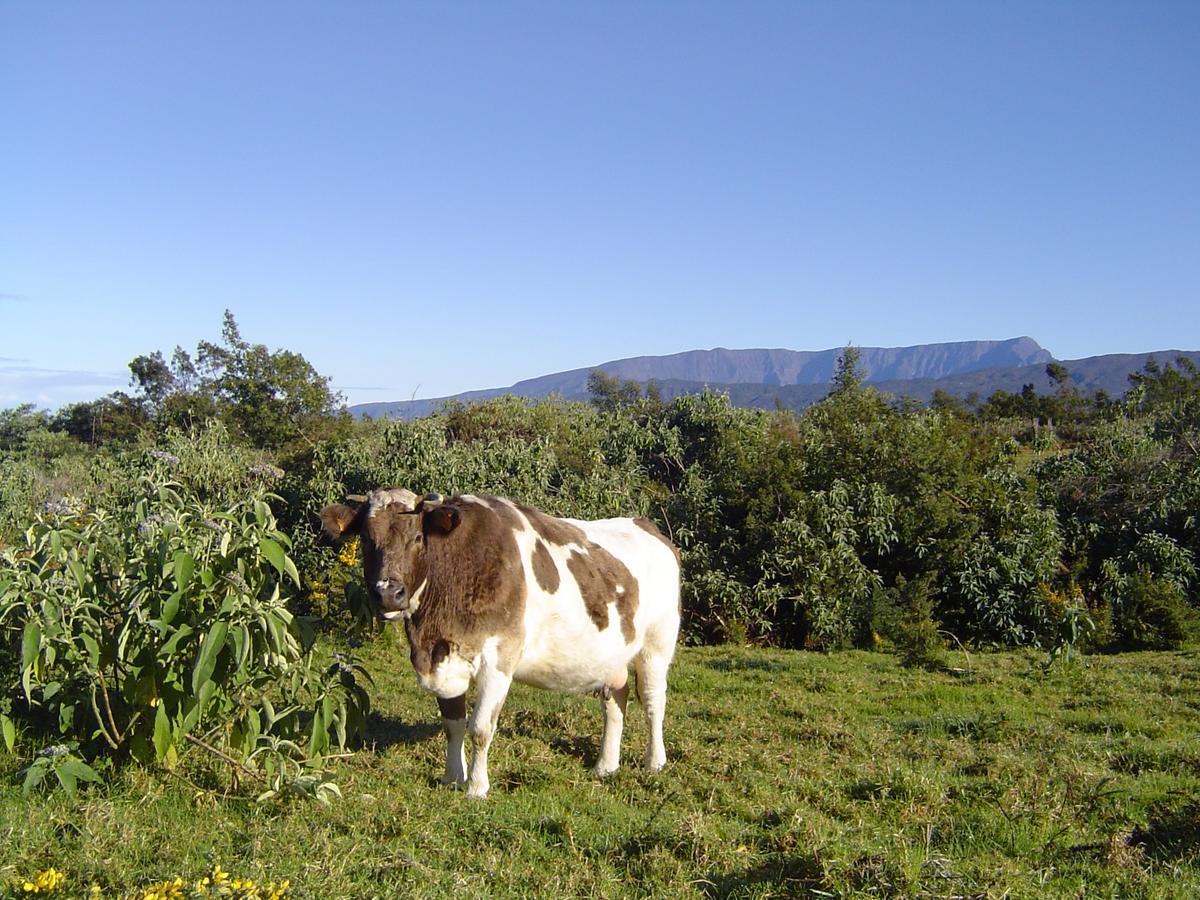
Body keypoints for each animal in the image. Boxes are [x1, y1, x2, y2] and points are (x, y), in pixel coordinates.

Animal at [319, 489, 681, 801]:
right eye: (367, 539)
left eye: (418, 538)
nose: (388, 594)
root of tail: (645, 525)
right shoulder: (444, 659)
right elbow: (453, 725)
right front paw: (452, 777)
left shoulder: (499, 660)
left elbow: (480, 728)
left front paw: (477, 788)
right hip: (611, 655)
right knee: (615, 700)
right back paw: (605, 765)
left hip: (657, 645)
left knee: (653, 702)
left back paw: (654, 762)